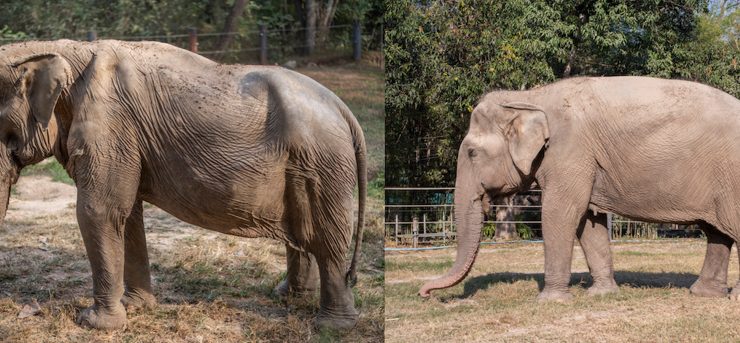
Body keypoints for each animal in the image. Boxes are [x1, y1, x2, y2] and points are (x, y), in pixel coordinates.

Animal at [0, 39, 368, 330]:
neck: (66, 50)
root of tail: (345, 110)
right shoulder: (126, 139)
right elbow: (128, 215)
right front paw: (136, 307)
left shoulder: (110, 127)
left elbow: (99, 211)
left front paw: (94, 324)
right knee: (304, 233)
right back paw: (287, 296)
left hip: (324, 164)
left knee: (329, 240)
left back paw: (332, 326)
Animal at [420, 76, 736, 302]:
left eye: (472, 153)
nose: (425, 294)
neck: (530, 97)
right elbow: (588, 220)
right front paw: (602, 295)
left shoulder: (569, 151)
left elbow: (561, 212)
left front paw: (550, 301)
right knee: (716, 232)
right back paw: (704, 294)